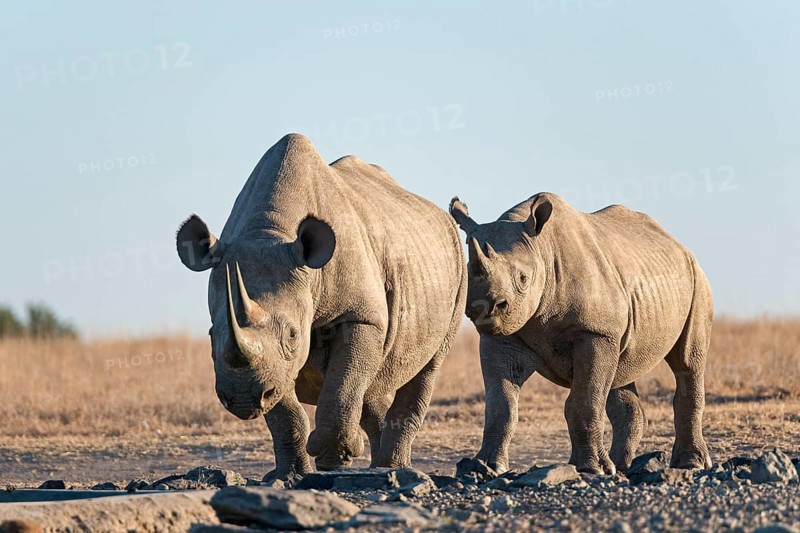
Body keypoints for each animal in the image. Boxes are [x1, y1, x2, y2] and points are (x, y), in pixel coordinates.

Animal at [176, 134, 466, 480]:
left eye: (292, 335)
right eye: (210, 335)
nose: (244, 398)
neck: (269, 230)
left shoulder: (361, 317)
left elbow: (342, 385)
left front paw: (336, 456)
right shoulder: (273, 368)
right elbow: (286, 410)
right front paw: (291, 475)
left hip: (458, 264)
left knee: (427, 366)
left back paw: (390, 467)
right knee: (373, 382)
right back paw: (378, 465)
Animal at [449, 192, 713, 475]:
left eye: (523, 278)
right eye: (468, 276)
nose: (484, 307)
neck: (542, 249)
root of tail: (678, 244)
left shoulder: (595, 332)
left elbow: (584, 400)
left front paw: (591, 468)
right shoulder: (504, 336)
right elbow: (501, 405)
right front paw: (485, 466)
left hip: (697, 279)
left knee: (687, 363)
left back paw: (690, 463)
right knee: (621, 372)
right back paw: (619, 465)